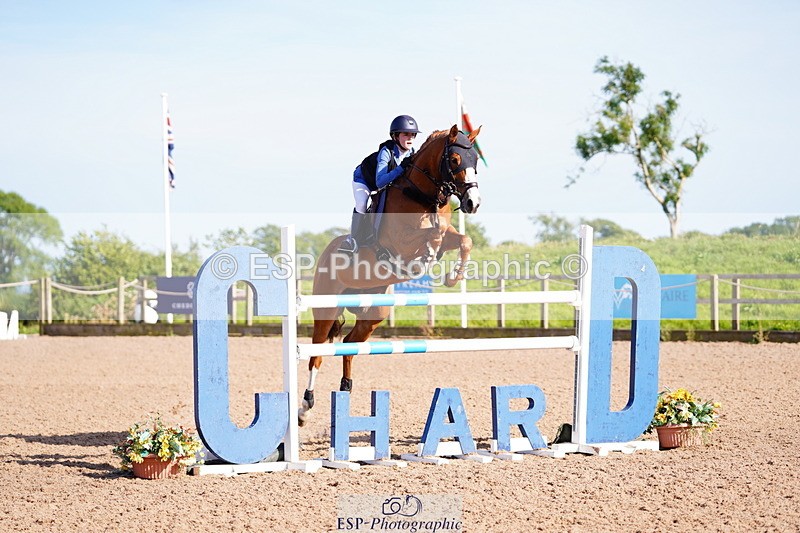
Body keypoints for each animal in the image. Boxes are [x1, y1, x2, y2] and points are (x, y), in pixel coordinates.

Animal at [298, 124, 482, 425]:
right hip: (326, 308)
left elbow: (463, 239)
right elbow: (433, 234)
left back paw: (345, 388)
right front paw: (426, 258)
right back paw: (304, 407)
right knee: (317, 355)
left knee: (348, 344)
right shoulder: (401, 242)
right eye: (455, 160)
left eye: (475, 160)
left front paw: (453, 276)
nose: (472, 203)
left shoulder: (450, 235)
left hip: (373, 314)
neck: (423, 195)